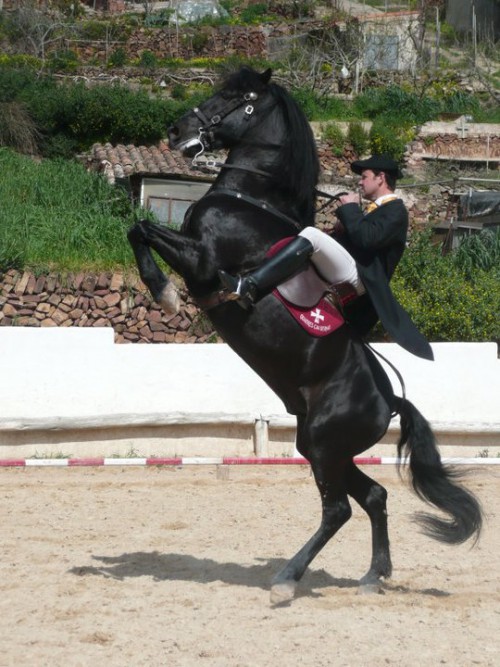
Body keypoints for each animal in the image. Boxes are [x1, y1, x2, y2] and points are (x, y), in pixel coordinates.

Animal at [127, 67, 482, 604]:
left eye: (239, 98)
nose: (176, 130)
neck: (248, 199)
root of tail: (390, 401)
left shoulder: (205, 266)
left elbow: (143, 229)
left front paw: (164, 293)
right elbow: (138, 229)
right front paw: (163, 292)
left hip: (324, 443)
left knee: (338, 510)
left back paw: (287, 580)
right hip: (321, 446)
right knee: (373, 496)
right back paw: (373, 575)